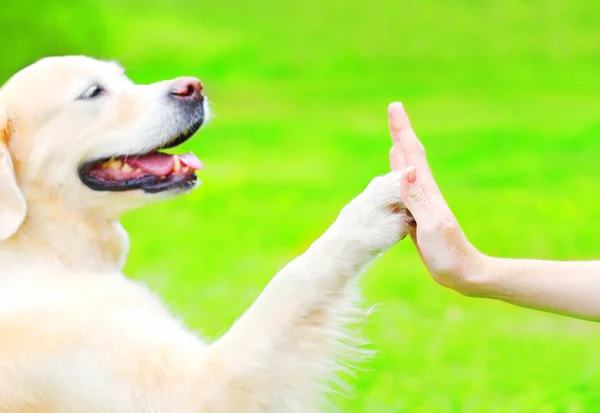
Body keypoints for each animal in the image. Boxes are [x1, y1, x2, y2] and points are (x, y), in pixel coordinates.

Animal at [0, 55, 412, 412]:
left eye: (124, 78)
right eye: (92, 92)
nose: (192, 86)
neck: (46, 249)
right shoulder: (190, 391)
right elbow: (292, 281)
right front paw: (373, 207)